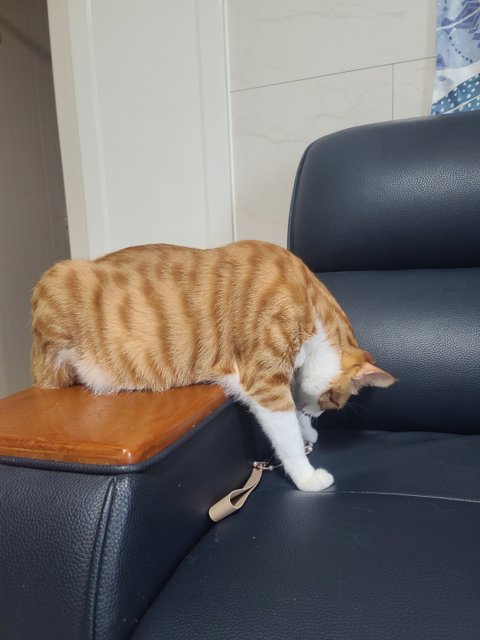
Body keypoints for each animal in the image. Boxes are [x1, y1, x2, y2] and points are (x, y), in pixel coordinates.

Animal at [31, 240, 395, 491]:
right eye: (334, 402)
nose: (318, 414)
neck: (310, 302)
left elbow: (292, 413)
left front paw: (306, 427)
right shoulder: (264, 382)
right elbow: (287, 435)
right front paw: (307, 476)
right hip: (59, 289)